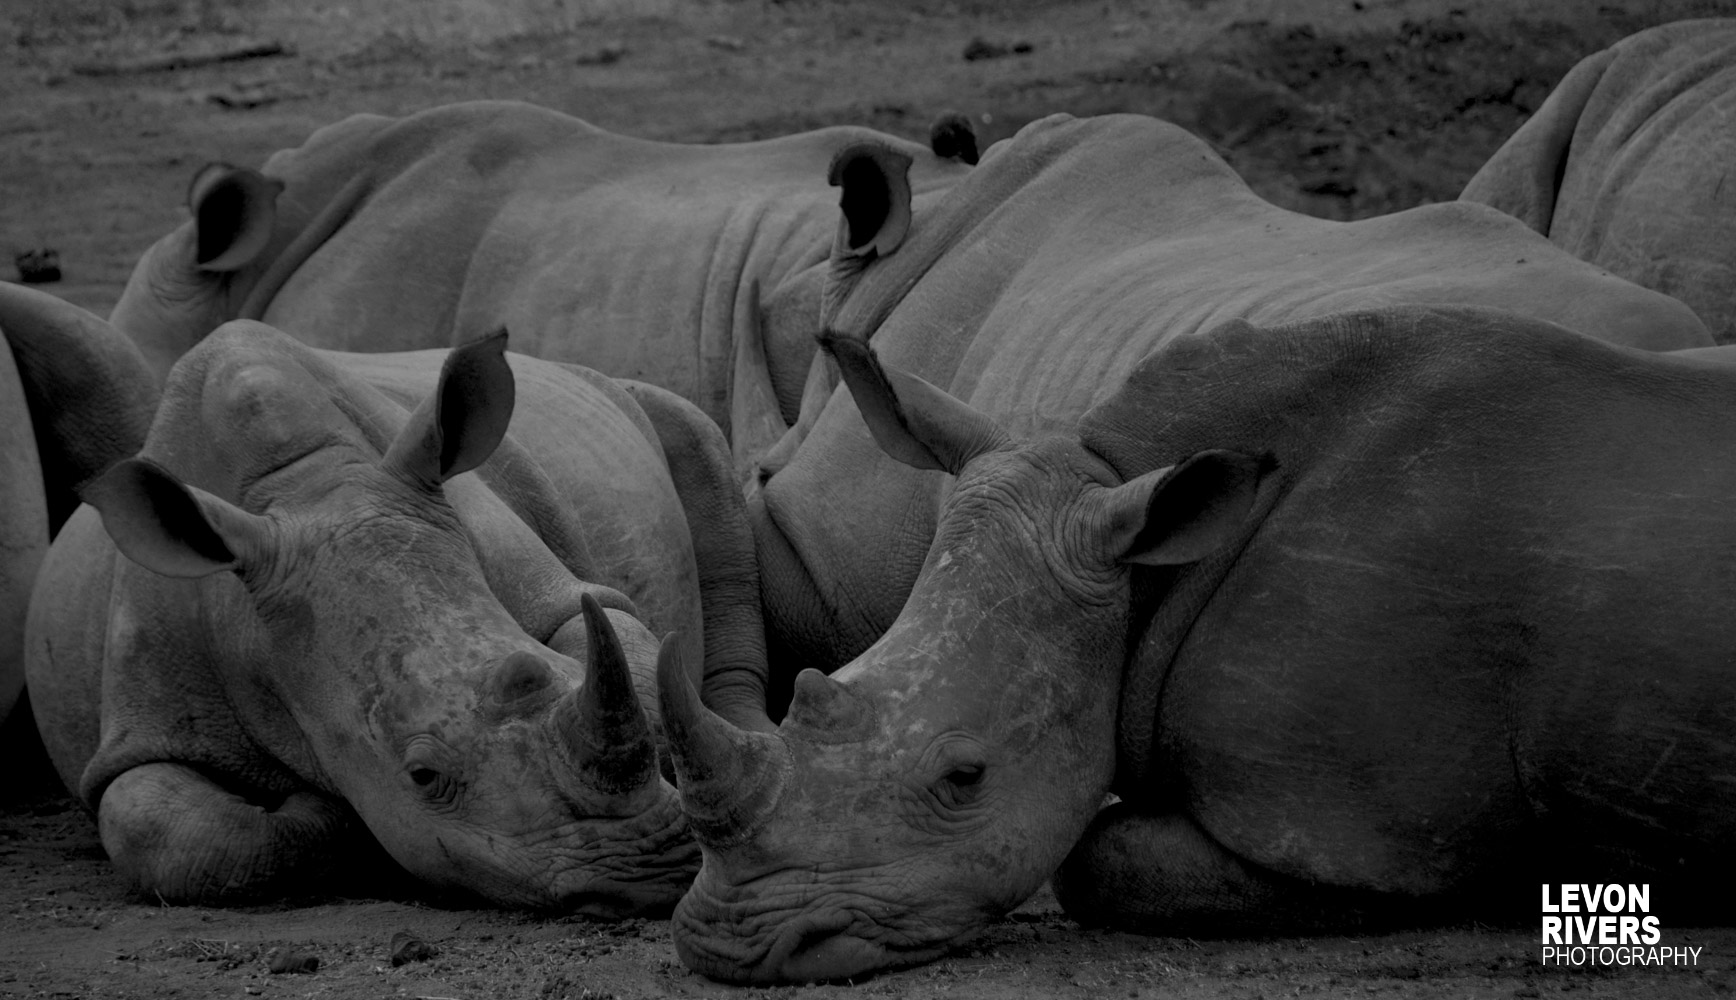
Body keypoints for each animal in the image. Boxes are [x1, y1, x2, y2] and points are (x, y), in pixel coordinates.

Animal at [24, 316, 767, 913]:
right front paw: (327, 812)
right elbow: (168, 828)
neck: (303, 485)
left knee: (702, 458)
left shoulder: (550, 587)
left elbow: (629, 659)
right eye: (422, 777)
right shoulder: (143, 719)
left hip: (634, 400)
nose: (650, 869)